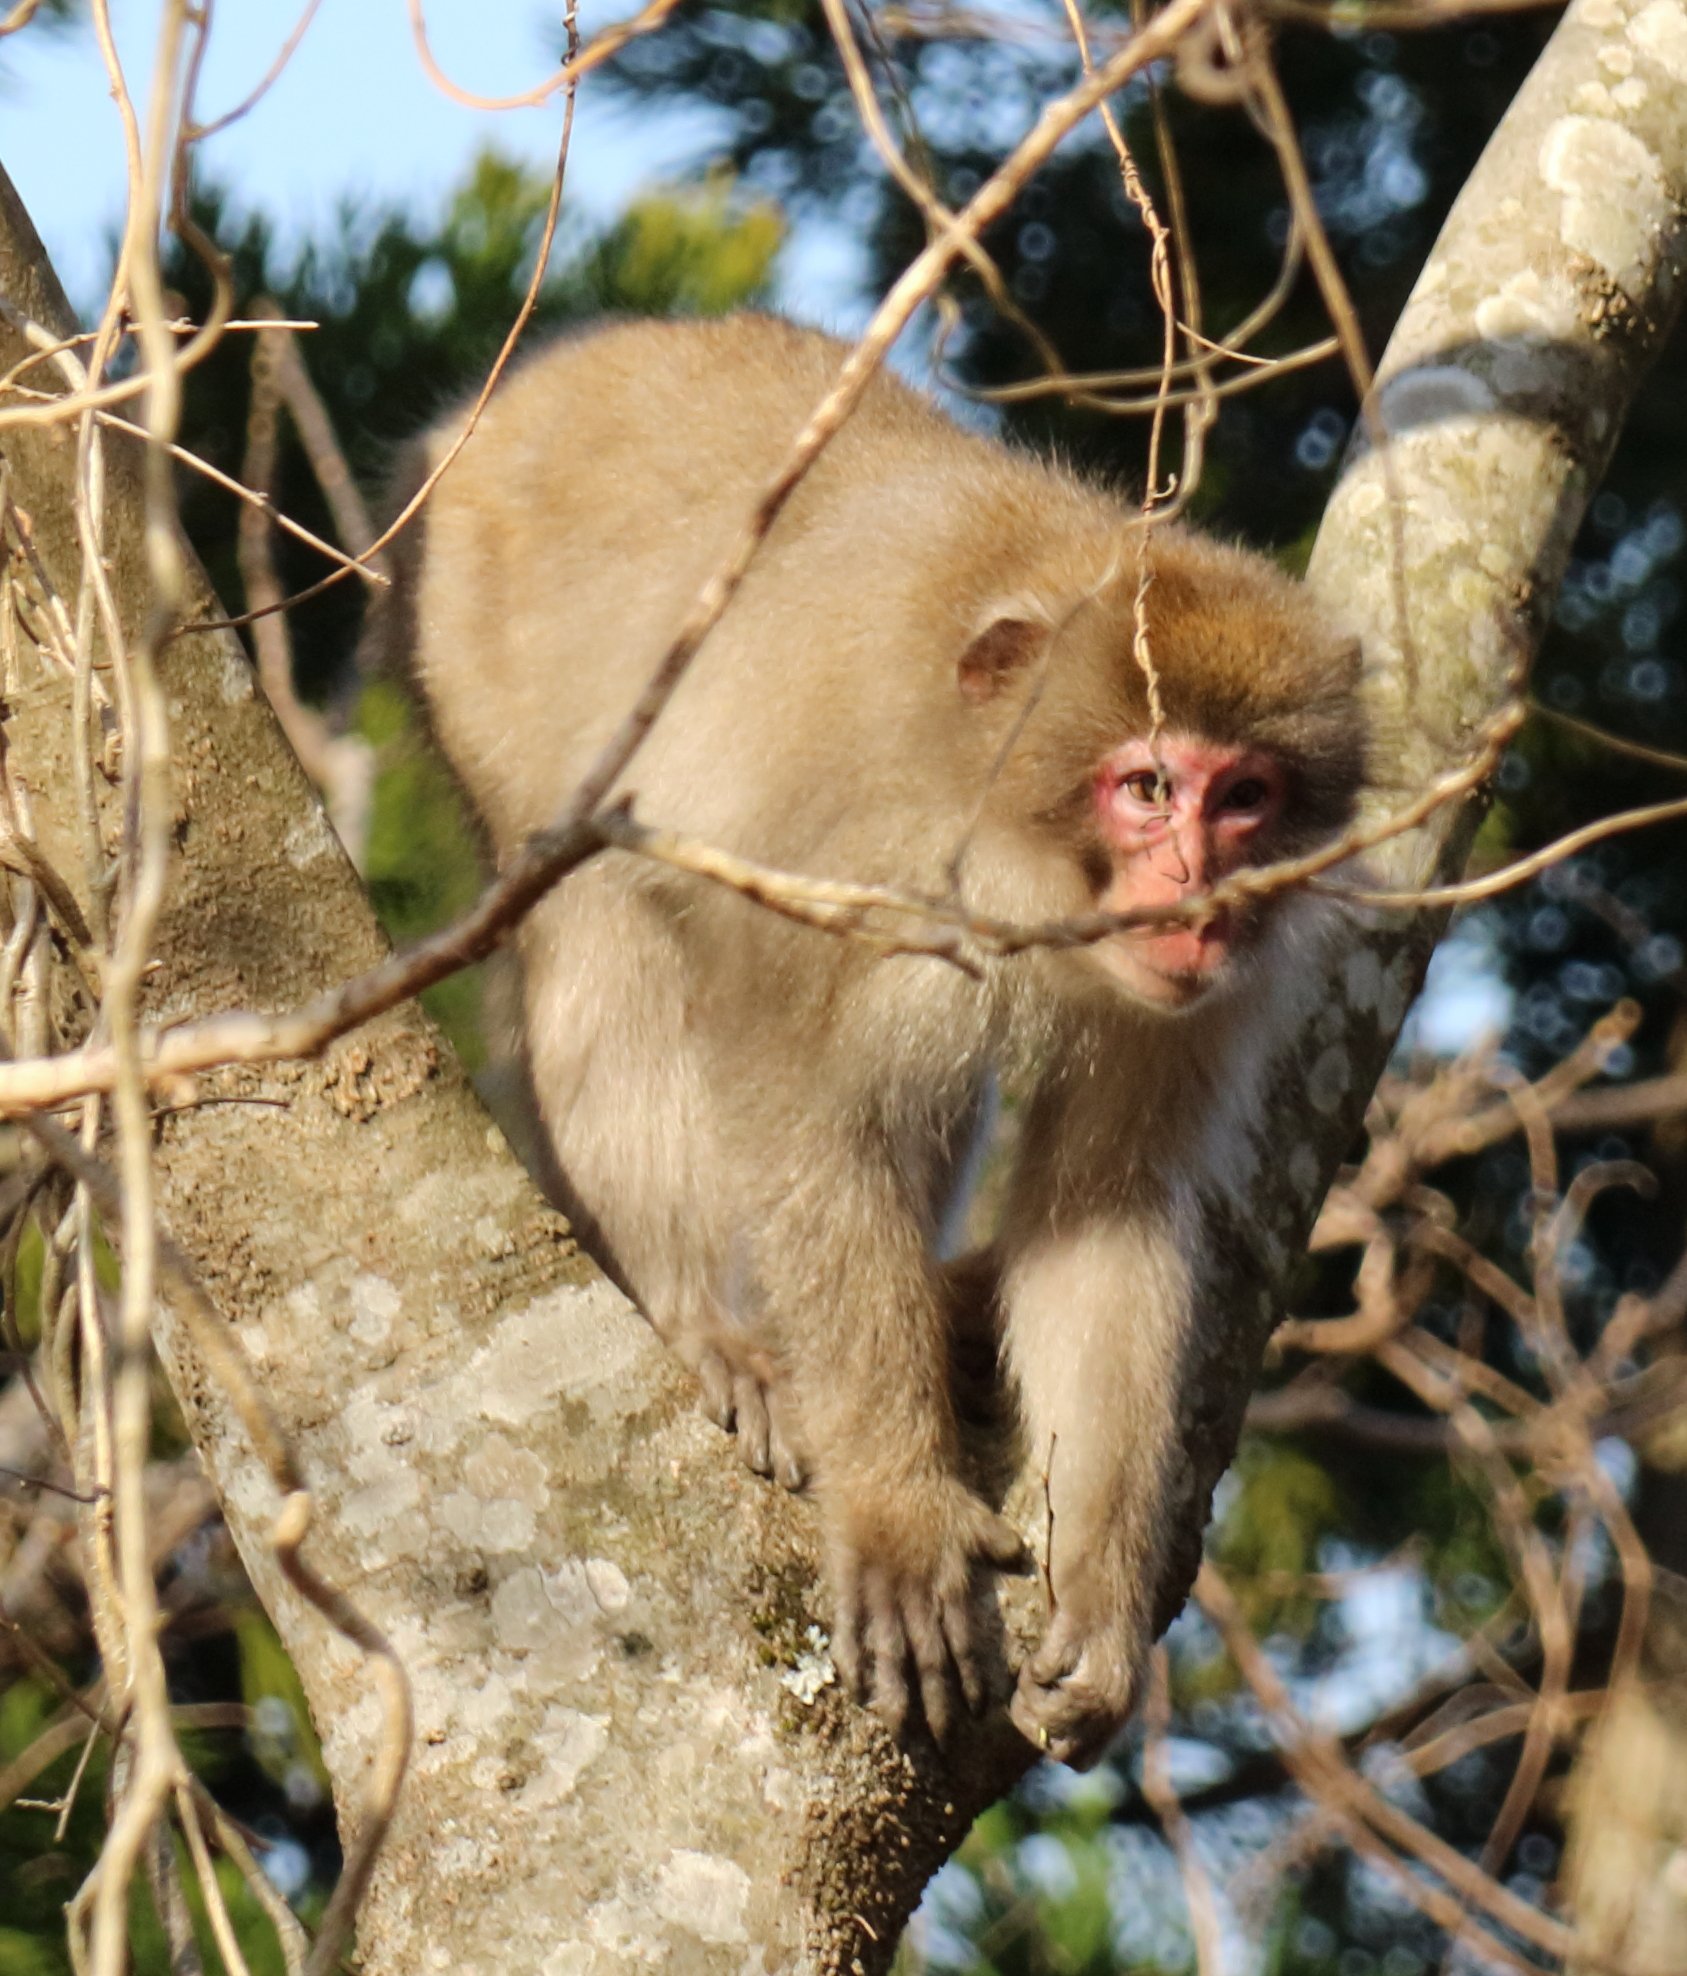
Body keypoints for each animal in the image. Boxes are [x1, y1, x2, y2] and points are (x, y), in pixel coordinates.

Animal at [386, 313, 1364, 1768]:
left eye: (1242, 794)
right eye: (1145, 787)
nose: (1197, 893)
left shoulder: (1202, 994)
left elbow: (1108, 1208)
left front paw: (1101, 1594)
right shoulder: (856, 849)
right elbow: (807, 1109)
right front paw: (899, 1511)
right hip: (475, 647)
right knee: (601, 925)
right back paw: (704, 1318)